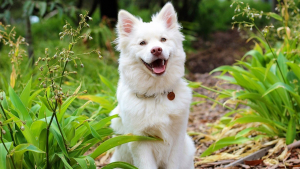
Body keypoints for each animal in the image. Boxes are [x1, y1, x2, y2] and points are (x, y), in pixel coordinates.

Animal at [109, 2, 195, 169]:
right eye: (142, 43)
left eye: (163, 39)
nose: (156, 50)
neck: (157, 94)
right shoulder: (140, 142)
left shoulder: (177, 138)